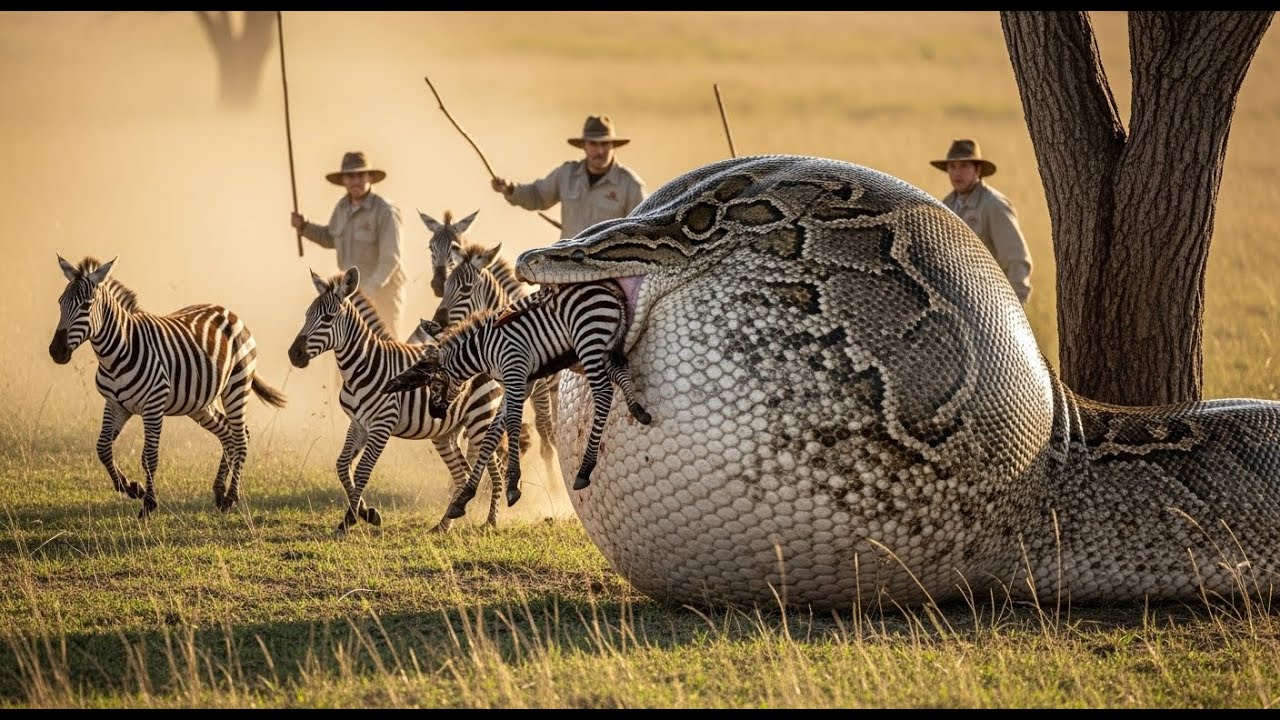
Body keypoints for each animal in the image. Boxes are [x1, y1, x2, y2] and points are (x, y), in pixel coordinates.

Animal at [48, 254, 287, 519]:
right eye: (60, 303)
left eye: (87, 306)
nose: (56, 351)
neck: (116, 354)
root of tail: (230, 312)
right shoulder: (116, 404)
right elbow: (103, 448)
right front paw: (132, 488)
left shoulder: (153, 405)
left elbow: (149, 456)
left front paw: (149, 504)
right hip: (200, 403)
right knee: (227, 433)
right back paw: (219, 492)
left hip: (236, 385)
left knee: (241, 436)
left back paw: (231, 497)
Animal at [287, 266, 510, 534]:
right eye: (307, 315)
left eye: (328, 318)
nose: (294, 354)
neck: (361, 367)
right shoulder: (358, 424)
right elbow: (342, 465)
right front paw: (365, 513)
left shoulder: (382, 424)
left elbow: (362, 472)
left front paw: (351, 519)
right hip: (446, 432)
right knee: (462, 475)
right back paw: (443, 525)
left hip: (480, 419)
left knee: (494, 470)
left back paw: (491, 522)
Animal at [382, 280, 652, 521]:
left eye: (435, 384)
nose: (435, 413)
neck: (482, 349)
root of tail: (609, 290)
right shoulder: (524, 381)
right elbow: (492, 435)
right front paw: (463, 498)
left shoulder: (515, 372)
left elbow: (512, 423)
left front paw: (512, 484)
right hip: (605, 347)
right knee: (620, 372)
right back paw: (638, 410)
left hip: (589, 342)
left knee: (604, 393)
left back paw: (585, 469)